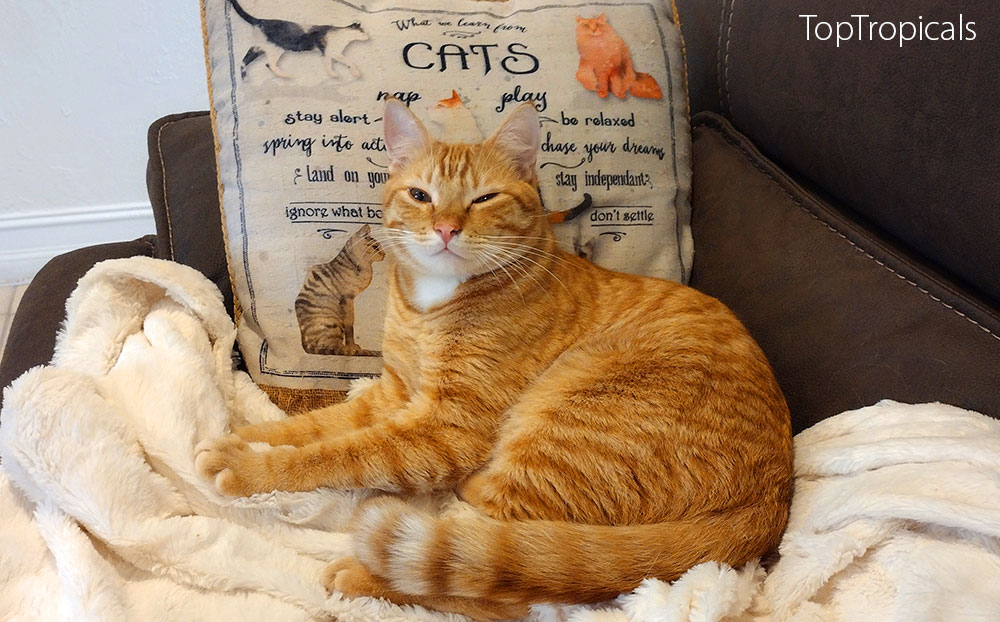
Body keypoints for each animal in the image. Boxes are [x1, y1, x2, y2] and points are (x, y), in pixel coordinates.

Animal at [197, 100, 788, 620]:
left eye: (483, 199)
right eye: (420, 195)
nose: (446, 228)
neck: (431, 303)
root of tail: (771, 498)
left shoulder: (445, 426)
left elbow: (337, 453)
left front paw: (249, 467)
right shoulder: (392, 393)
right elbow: (310, 427)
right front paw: (238, 440)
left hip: (561, 425)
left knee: (499, 582)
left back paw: (367, 573)